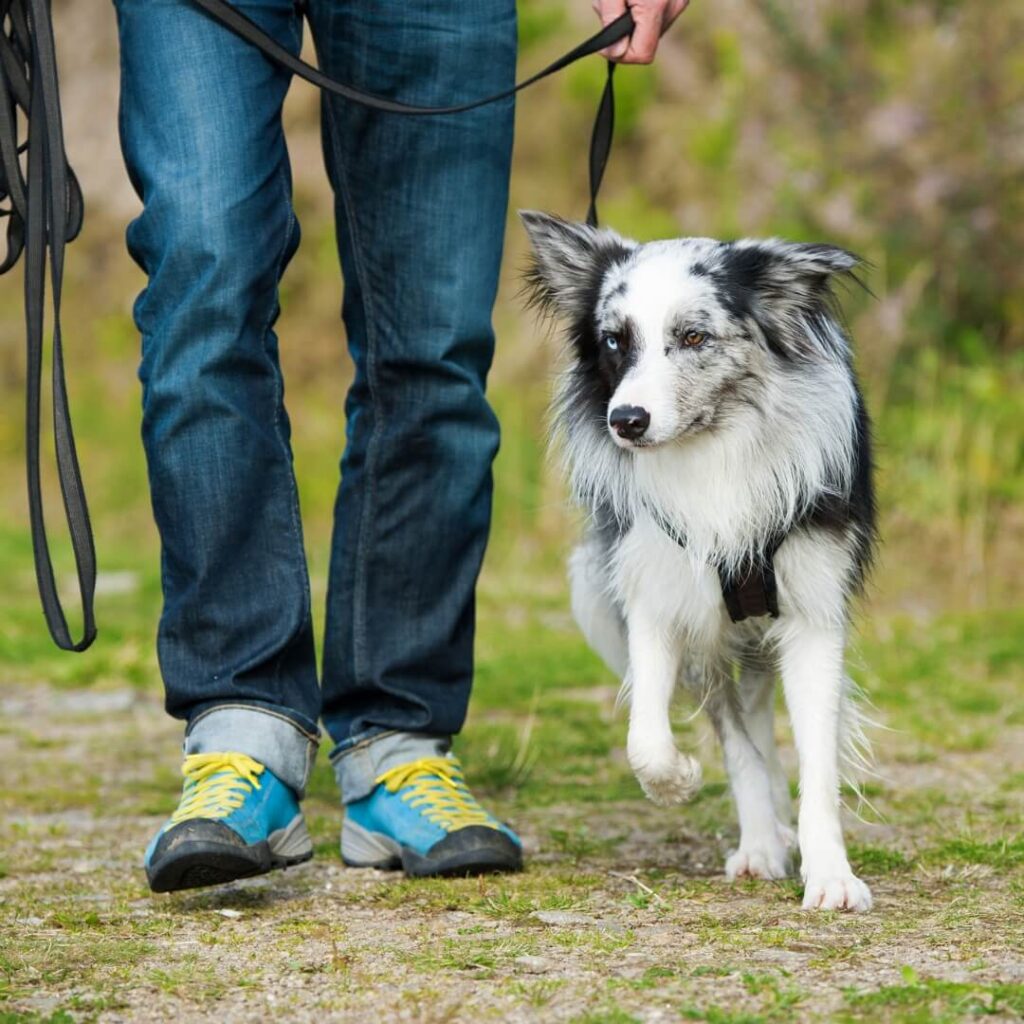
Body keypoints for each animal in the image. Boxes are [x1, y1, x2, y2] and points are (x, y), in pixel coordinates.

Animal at [524, 209, 876, 913]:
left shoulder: (812, 616)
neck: (714, 450)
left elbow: (818, 759)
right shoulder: (661, 602)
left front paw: (830, 874)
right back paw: (763, 836)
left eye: (692, 336)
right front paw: (685, 784)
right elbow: (653, 740)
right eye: (613, 341)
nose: (626, 420)